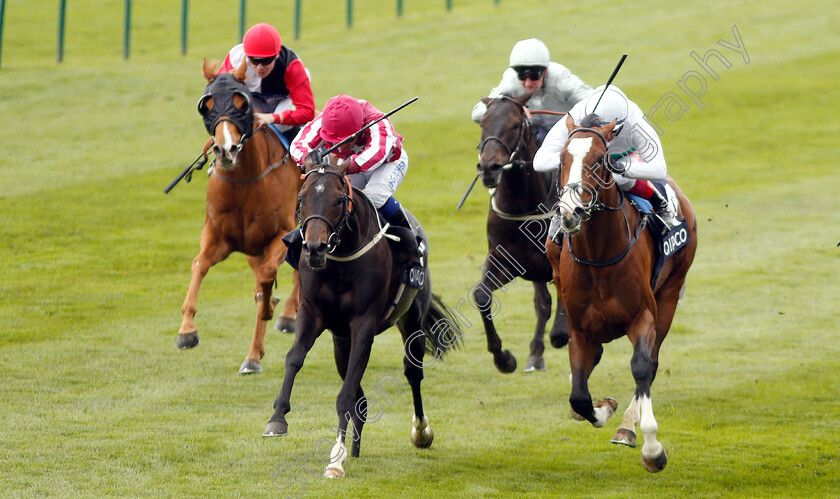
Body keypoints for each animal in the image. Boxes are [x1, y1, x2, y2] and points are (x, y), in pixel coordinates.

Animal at [178, 57, 306, 376]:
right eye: (207, 104)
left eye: (241, 103)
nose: (226, 149)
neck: (246, 182)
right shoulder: (217, 236)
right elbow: (199, 265)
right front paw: (187, 330)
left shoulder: (281, 235)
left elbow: (267, 277)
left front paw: (272, 309)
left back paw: (286, 315)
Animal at [262, 161, 460, 480]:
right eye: (301, 199)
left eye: (338, 201)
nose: (314, 248)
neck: (341, 260)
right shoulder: (312, 313)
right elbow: (294, 358)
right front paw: (278, 418)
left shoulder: (364, 324)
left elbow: (345, 396)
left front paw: (335, 460)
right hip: (340, 340)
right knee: (359, 394)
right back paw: (355, 447)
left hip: (411, 318)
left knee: (412, 373)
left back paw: (420, 432)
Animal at [472, 93, 572, 376]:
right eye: (483, 122)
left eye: (516, 124)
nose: (489, 167)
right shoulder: (505, 260)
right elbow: (481, 295)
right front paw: (503, 358)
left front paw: (560, 333)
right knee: (542, 303)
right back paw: (535, 354)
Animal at [544, 116, 696, 472]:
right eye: (562, 160)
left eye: (600, 160)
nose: (570, 212)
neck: (599, 257)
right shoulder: (579, 329)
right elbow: (579, 396)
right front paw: (602, 408)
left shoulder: (643, 317)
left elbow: (642, 367)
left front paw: (651, 447)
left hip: (670, 294)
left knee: (652, 362)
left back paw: (629, 425)